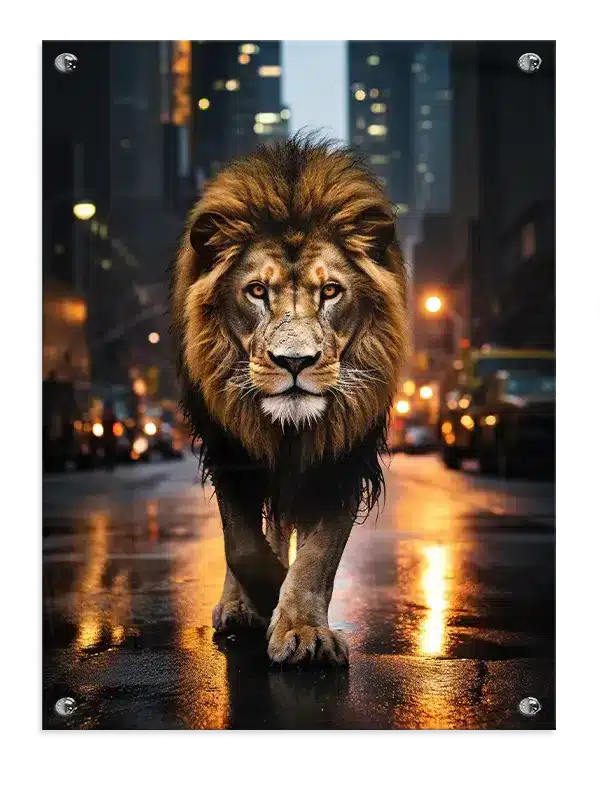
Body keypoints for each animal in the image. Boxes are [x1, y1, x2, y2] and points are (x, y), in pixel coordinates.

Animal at [171, 134, 408, 667]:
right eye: (257, 290)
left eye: (331, 291)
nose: (294, 361)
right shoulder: (229, 448)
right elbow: (241, 543)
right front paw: (264, 599)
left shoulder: (345, 453)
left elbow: (321, 552)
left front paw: (303, 628)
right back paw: (239, 607)